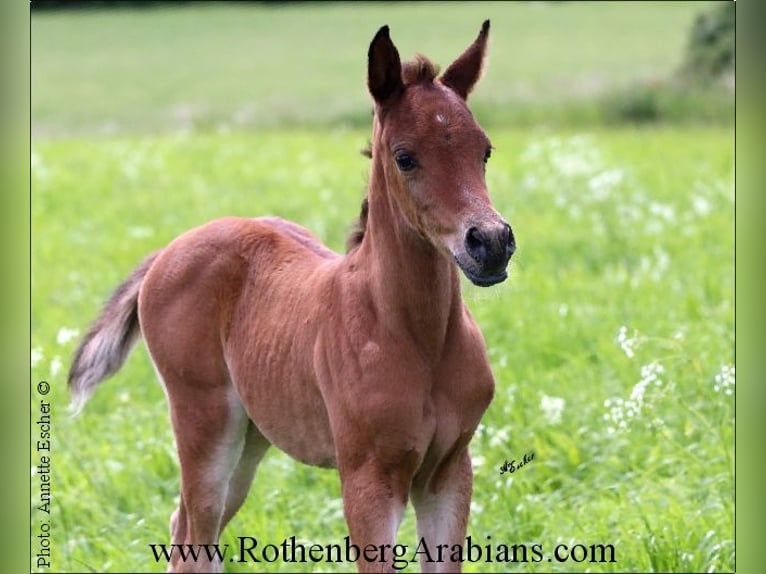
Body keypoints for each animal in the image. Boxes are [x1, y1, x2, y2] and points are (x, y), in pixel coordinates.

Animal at [69, 20, 520, 572]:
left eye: (485, 150)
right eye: (405, 157)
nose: (491, 243)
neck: (415, 338)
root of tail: (166, 254)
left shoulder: (449, 473)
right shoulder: (368, 478)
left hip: (252, 437)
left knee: (188, 528)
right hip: (204, 424)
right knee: (195, 532)